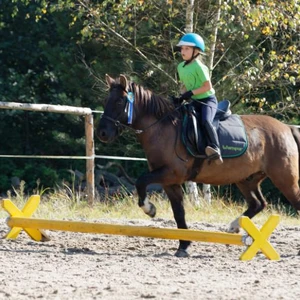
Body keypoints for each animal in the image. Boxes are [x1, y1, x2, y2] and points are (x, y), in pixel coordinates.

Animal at [96, 74, 300, 256]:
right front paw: (183, 246)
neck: (162, 128)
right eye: (106, 100)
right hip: (246, 179)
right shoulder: (170, 182)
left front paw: (149, 209)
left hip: (284, 179)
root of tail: (286, 128)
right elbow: (179, 213)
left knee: (292, 202)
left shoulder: (171, 173)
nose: (102, 133)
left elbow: (141, 181)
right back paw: (234, 226)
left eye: (119, 101)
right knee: (258, 203)